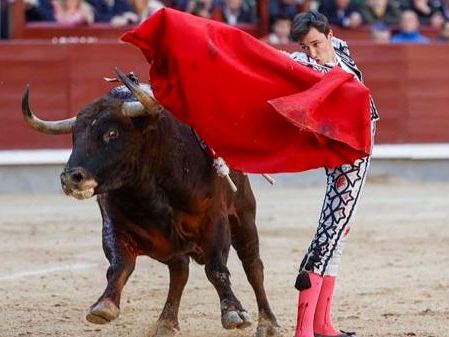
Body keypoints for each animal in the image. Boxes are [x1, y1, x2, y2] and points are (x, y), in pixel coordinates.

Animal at [22, 69, 280, 336]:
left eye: (112, 133)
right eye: (75, 136)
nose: (70, 178)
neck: (149, 188)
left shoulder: (215, 221)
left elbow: (216, 268)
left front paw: (233, 312)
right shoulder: (117, 226)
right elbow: (120, 264)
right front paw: (104, 305)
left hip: (243, 216)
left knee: (253, 266)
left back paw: (268, 322)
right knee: (180, 270)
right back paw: (166, 322)